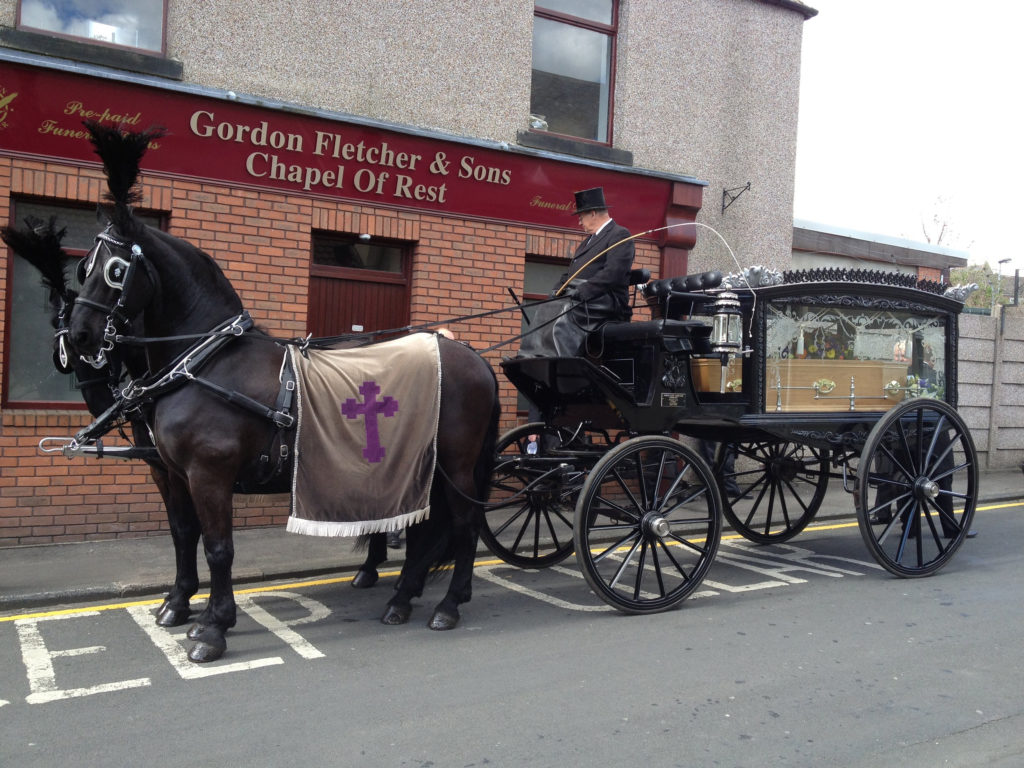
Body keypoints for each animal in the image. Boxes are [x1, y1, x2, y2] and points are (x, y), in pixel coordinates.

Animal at [67, 123, 499, 663]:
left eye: (115, 270)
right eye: (83, 266)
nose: (79, 336)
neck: (204, 361)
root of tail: (469, 353)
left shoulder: (209, 474)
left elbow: (219, 548)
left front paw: (214, 626)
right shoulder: (172, 472)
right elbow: (185, 536)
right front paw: (180, 605)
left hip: (457, 465)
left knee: (464, 525)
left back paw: (449, 604)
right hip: (423, 466)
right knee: (425, 528)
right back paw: (402, 598)